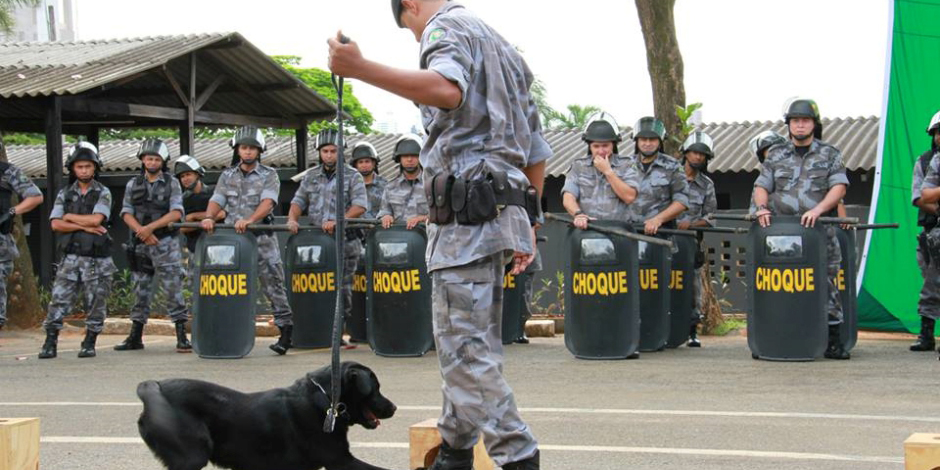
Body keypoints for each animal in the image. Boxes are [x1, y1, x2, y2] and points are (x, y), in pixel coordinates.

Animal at [137, 364, 396, 470]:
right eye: (376, 388)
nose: (394, 407)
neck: (325, 401)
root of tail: (153, 385)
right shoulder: (339, 460)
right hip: (191, 456)